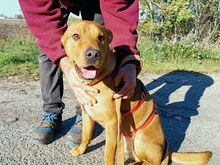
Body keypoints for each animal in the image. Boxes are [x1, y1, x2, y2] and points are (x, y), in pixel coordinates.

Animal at [61, 21, 212, 165]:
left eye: (101, 37)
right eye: (76, 36)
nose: (93, 54)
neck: (97, 79)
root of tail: (166, 150)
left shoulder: (112, 123)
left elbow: (108, 155)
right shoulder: (87, 114)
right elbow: (86, 135)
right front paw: (81, 150)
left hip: (140, 139)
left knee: (151, 162)